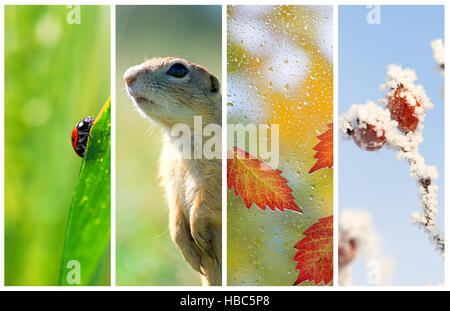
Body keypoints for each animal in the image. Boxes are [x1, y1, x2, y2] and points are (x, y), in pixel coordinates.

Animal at [124, 57, 222, 286]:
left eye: (178, 69)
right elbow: (175, 210)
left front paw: (200, 236)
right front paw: (190, 252)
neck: (181, 139)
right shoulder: (170, 175)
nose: (127, 76)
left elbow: (209, 202)